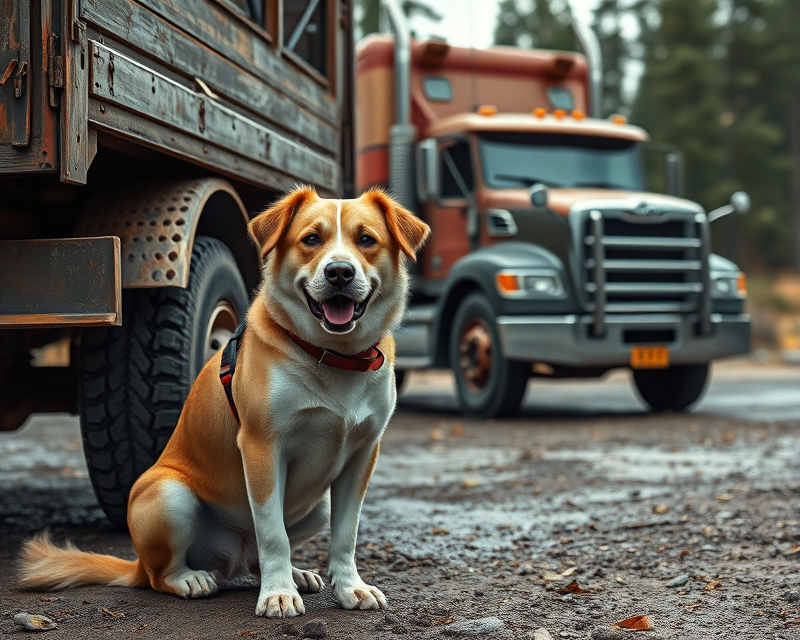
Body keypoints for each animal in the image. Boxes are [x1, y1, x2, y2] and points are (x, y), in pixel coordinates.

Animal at [17, 188, 432, 616]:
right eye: (311, 239)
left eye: (366, 239)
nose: (339, 272)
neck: (332, 355)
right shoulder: (262, 448)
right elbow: (273, 534)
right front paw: (278, 594)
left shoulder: (362, 455)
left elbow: (346, 534)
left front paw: (350, 587)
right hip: (169, 497)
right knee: (162, 574)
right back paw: (193, 579)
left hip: (317, 508)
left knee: (259, 557)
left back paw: (295, 574)